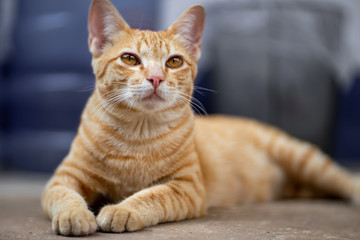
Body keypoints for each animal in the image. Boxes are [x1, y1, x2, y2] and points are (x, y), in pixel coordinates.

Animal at [40, 0, 360, 236]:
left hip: (300, 156)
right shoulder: (64, 177)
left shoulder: (187, 187)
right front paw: (75, 214)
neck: (137, 134)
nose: (156, 78)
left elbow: (151, 196)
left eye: (174, 62)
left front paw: (123, 208)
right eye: (130, 59)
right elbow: (65, 196)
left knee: (341, 178)